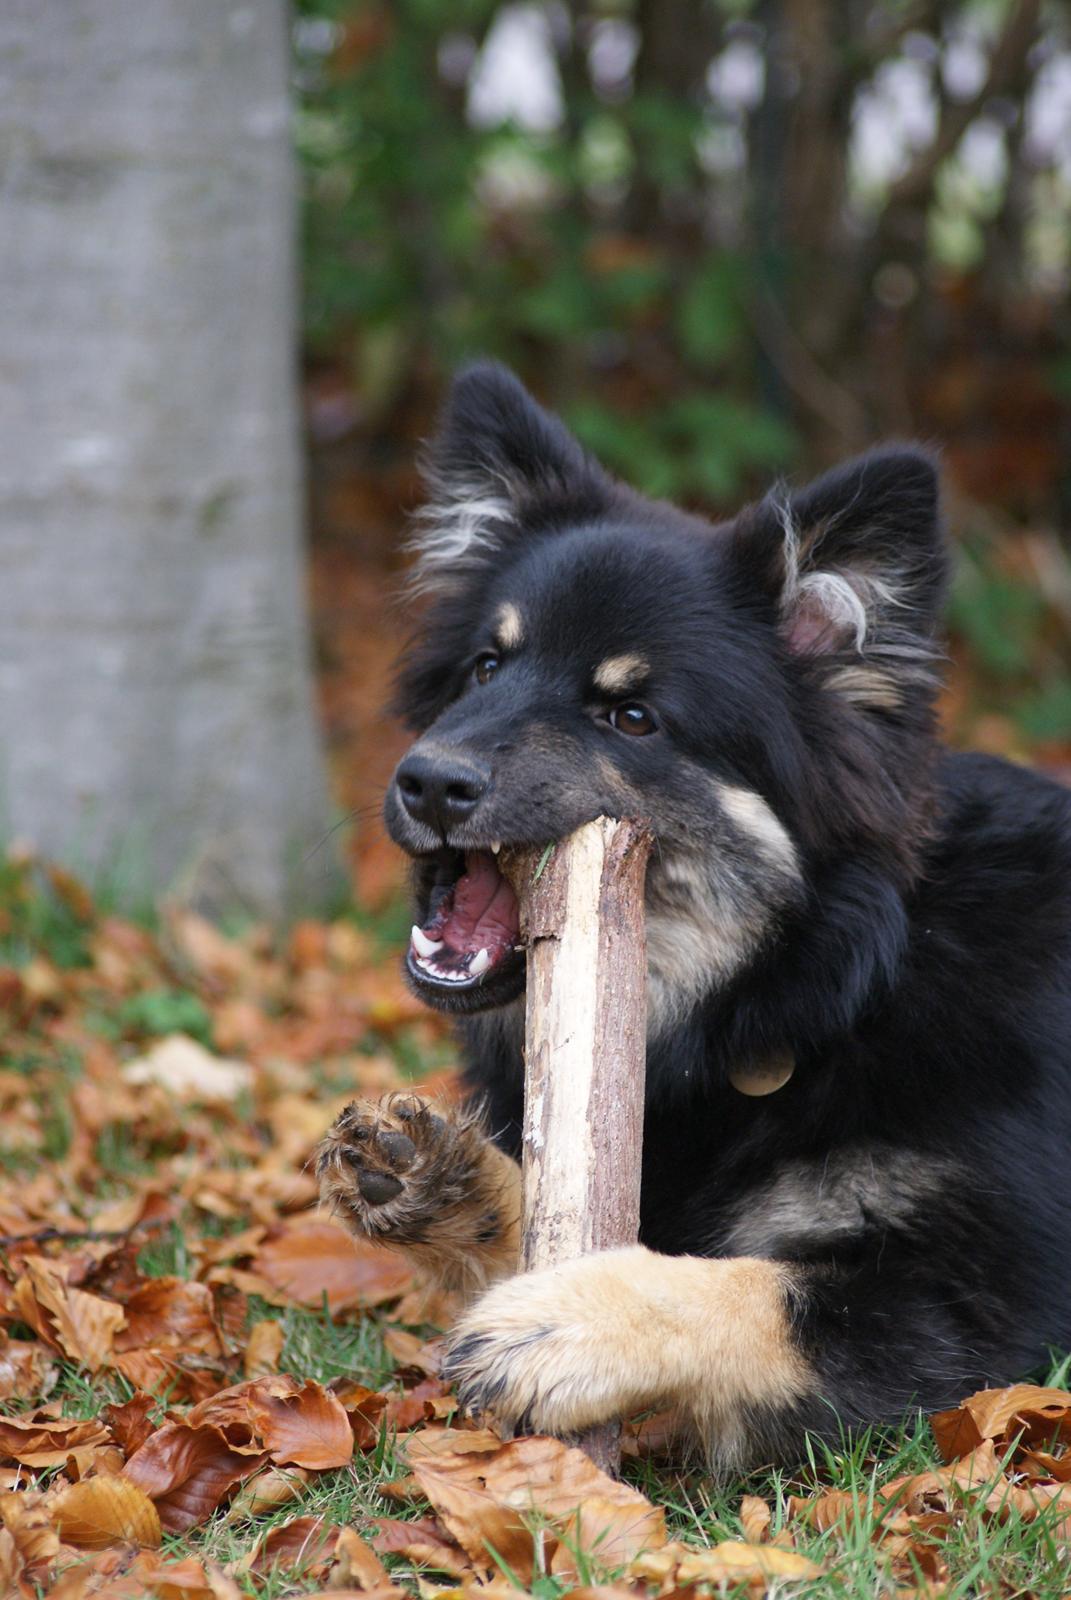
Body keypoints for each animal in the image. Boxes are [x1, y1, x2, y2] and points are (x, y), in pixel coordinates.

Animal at [315, 363, 1069, 1472]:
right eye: (486, 668)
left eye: (631, 717)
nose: (429, 782)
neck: (813, 991)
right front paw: (465, 1189)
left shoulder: (991, 1304)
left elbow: (757, 1286)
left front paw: (565, 1324)